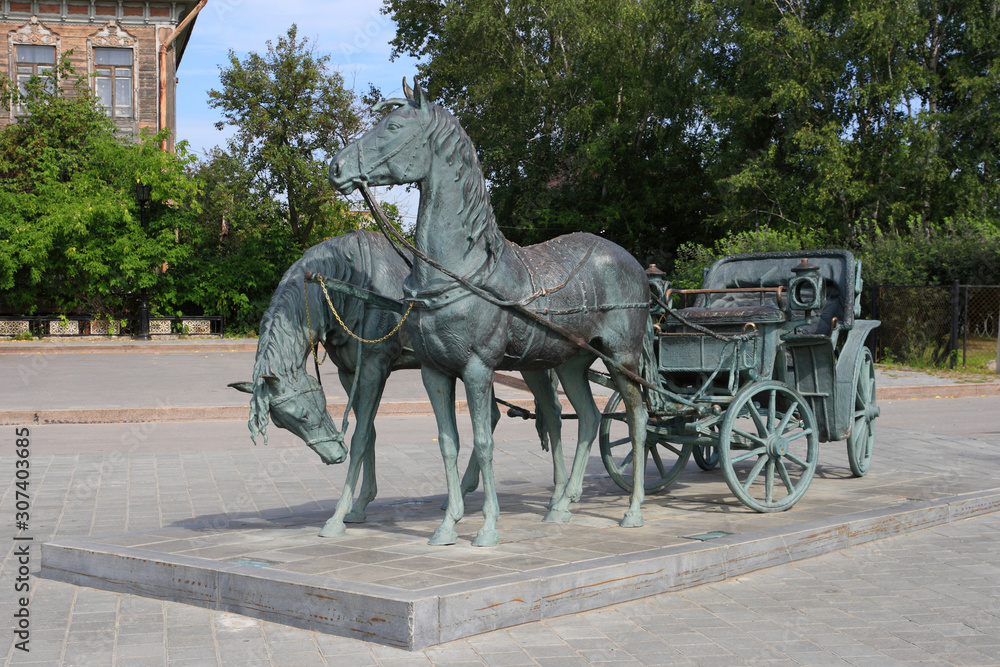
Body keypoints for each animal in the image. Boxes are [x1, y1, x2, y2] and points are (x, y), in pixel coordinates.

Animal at [228, 230, 572, 536]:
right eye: (282, 425)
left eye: (302, 415)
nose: (332, 457)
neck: (348, 284)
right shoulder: (349, 373)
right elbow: (369, 433)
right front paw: (360, 505)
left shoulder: (374, 367)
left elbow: (360, 437)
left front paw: (338, 515)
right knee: (494, 416)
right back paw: (463, 491)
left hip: (534, 364)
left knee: (553, 413)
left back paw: (561, 497)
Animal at [330, 79, 656, 548]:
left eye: (392, 126)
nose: (336, 168)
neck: (460, 272)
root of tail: (633, 263)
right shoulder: (434, 371)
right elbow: (449, 442)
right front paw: (447, 525)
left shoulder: (478, 369)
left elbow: (483, 442)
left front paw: (486, 527)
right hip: (572, 362)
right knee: (590, 418)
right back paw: (560, 508)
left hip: (621, 359)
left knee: (637, 417)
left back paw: (633, 510)